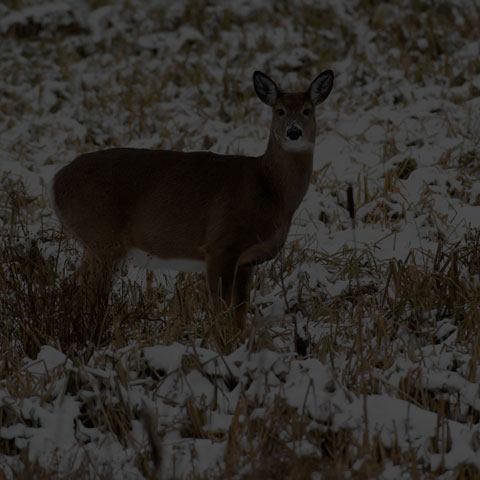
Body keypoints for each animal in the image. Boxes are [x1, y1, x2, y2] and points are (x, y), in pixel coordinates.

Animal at [52, 68, 334, 330]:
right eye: (280, 111)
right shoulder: (220, 245)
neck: (268, 188)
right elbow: (221, 312)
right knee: (90, 292)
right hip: (102, 237)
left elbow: (239, 314)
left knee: (73, 283)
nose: (294, 132)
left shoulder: (248, 259)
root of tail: (56, 182)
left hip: (95, 243)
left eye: (308, 110)